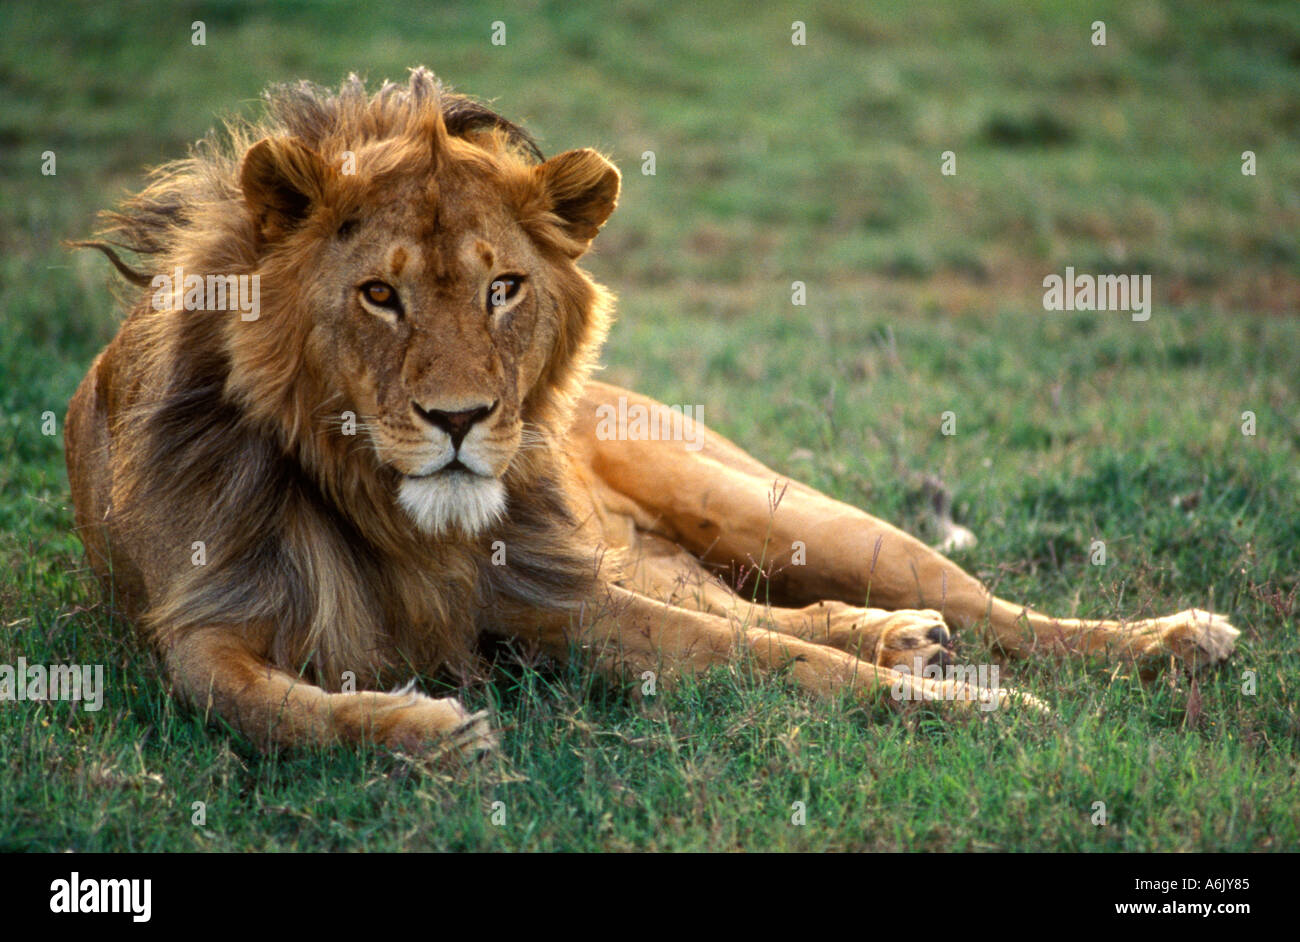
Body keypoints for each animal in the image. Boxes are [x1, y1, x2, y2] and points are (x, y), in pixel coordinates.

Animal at [65, 69, 1239, 756]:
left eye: (503, 288)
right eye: (379, 294)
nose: (461, 419)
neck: (387, 517)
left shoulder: (555, 599)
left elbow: (780, 664)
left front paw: (981, 708)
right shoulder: (199, 623)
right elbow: (256, 704)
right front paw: (426, 738)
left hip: (777, 508)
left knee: (992, 608)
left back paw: (1175, 639)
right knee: (771, 607)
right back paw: (904, 641)